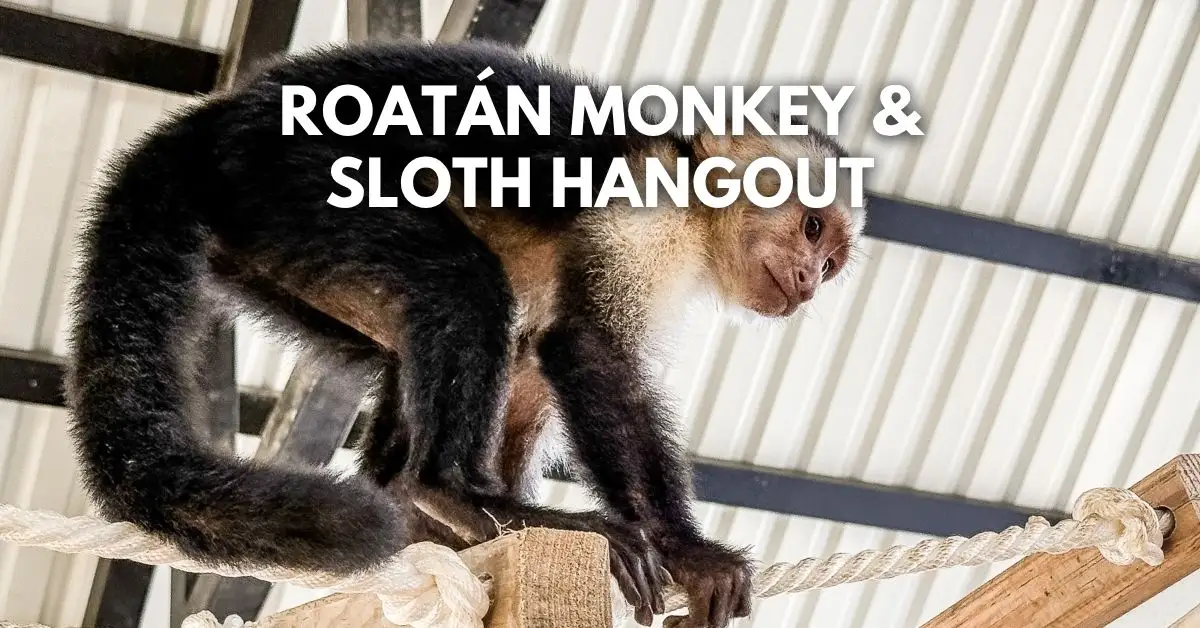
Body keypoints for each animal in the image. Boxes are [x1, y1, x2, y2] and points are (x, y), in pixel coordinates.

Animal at [63, 38, 864, 628]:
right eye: (811, 228)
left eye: (831, 263)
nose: (808, 281)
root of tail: (214, 121)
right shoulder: (647, 208)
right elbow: (586, 348)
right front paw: (688, 550)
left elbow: (541, 362)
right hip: (289, 182)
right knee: (462, 282)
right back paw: (450, 490)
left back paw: (424, 504)